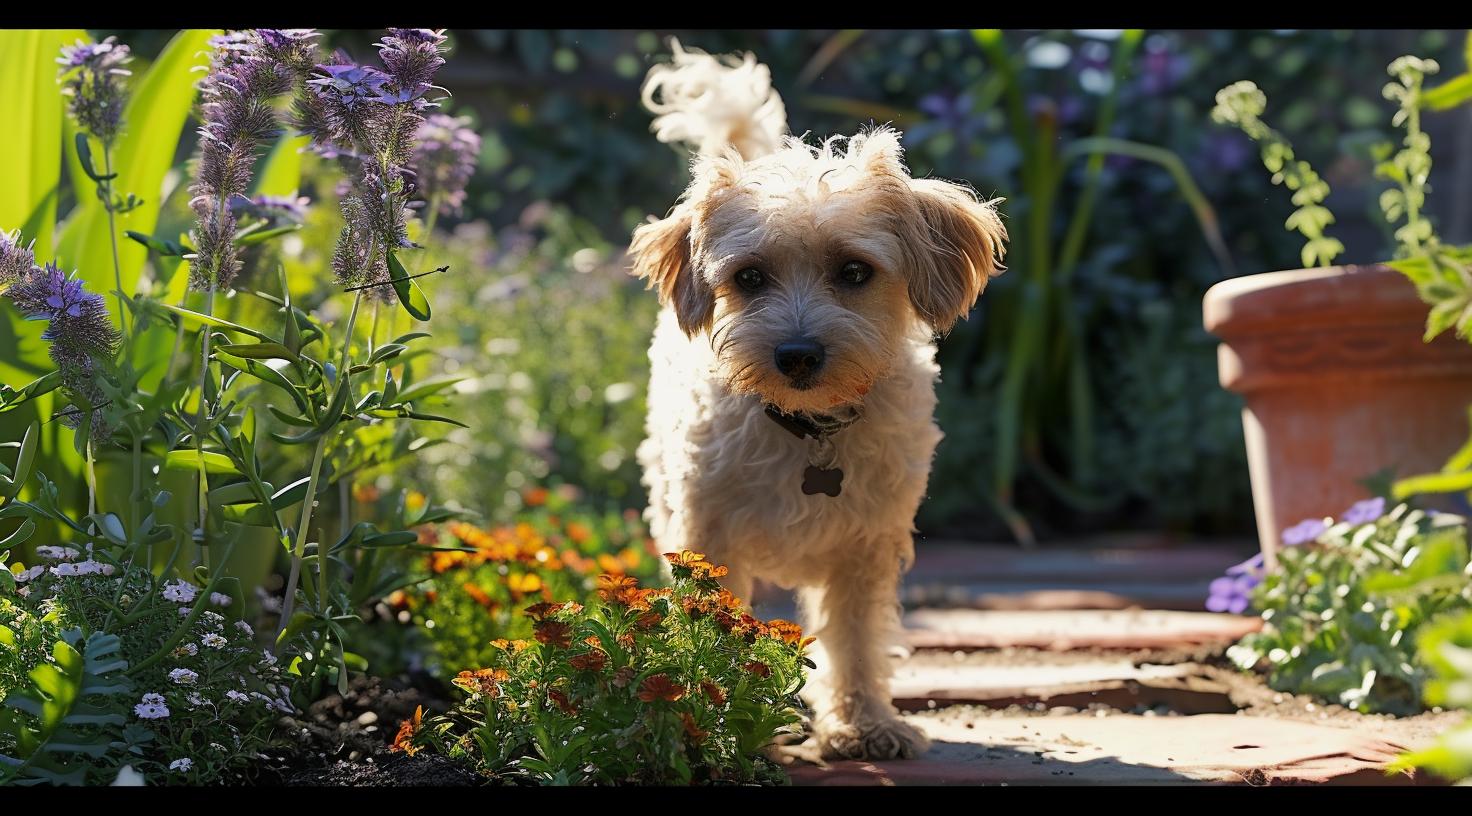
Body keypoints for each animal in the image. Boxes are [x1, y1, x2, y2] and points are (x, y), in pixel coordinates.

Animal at [627, 41, 1006, 760]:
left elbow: (855, 639)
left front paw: (865, 723)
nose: (798, 354)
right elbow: (713, 637)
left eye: (854, 271)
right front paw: (721, 724)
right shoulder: (708, 541)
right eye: (749, 277)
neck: (809, 431)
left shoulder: (865, 546)